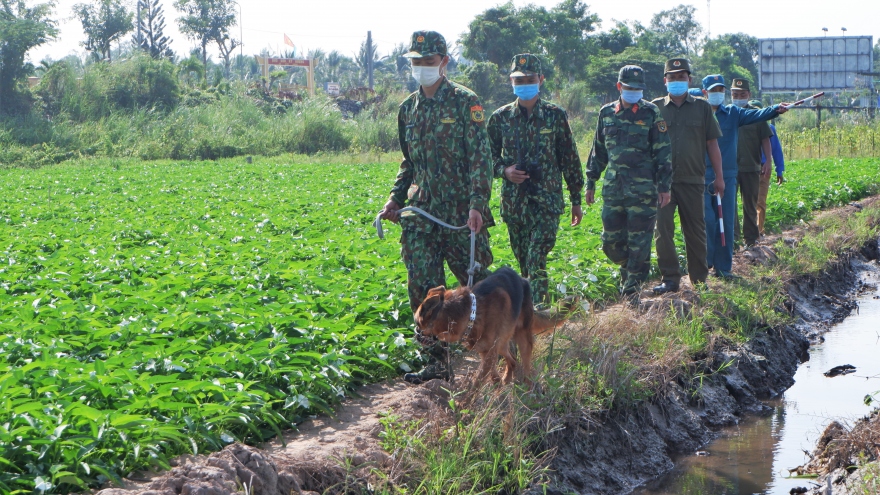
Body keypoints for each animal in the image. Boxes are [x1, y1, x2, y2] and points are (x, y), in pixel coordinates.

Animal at [412, 268, 556, 384]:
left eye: (418, 323)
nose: (415, 335)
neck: (471, 315)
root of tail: (523, 280)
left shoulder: (490, 353)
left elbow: (477, 382)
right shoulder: (485, 351)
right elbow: (491, 373)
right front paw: (497, 384)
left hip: (522, 338)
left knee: (525, 366)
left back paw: (528, 387)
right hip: (502, 343)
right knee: (513, 359)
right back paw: (507, 379)